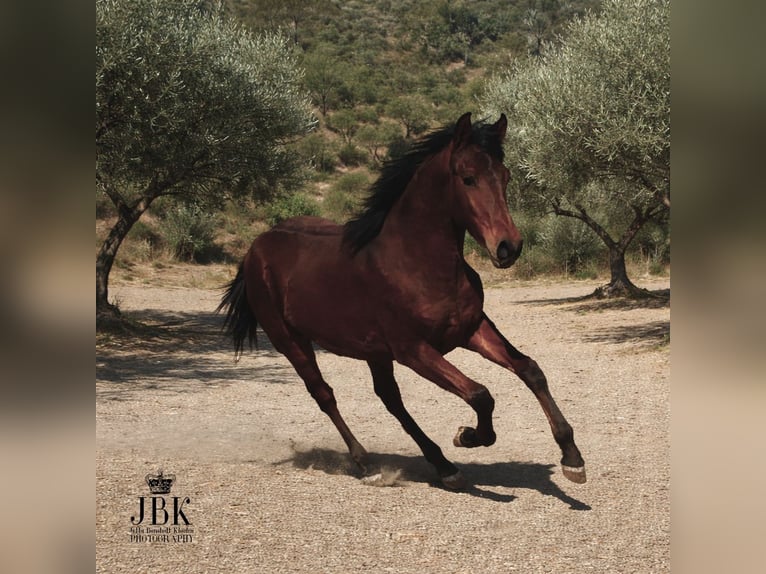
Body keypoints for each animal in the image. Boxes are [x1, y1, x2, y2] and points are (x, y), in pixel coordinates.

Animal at [218, 112, 585, 489]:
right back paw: (368, 463)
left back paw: (443, 465)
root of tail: (256, 247)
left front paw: (572, 458)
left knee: (389, 399)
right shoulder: (413, 349)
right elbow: (480, 394)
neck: (415, 262)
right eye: (468, 178)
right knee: (324, 394)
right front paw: (467, 435)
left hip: (374, 352)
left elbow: (530, 370)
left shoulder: (471, 330)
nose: (508, 247)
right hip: (291, 342)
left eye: (506, 176)